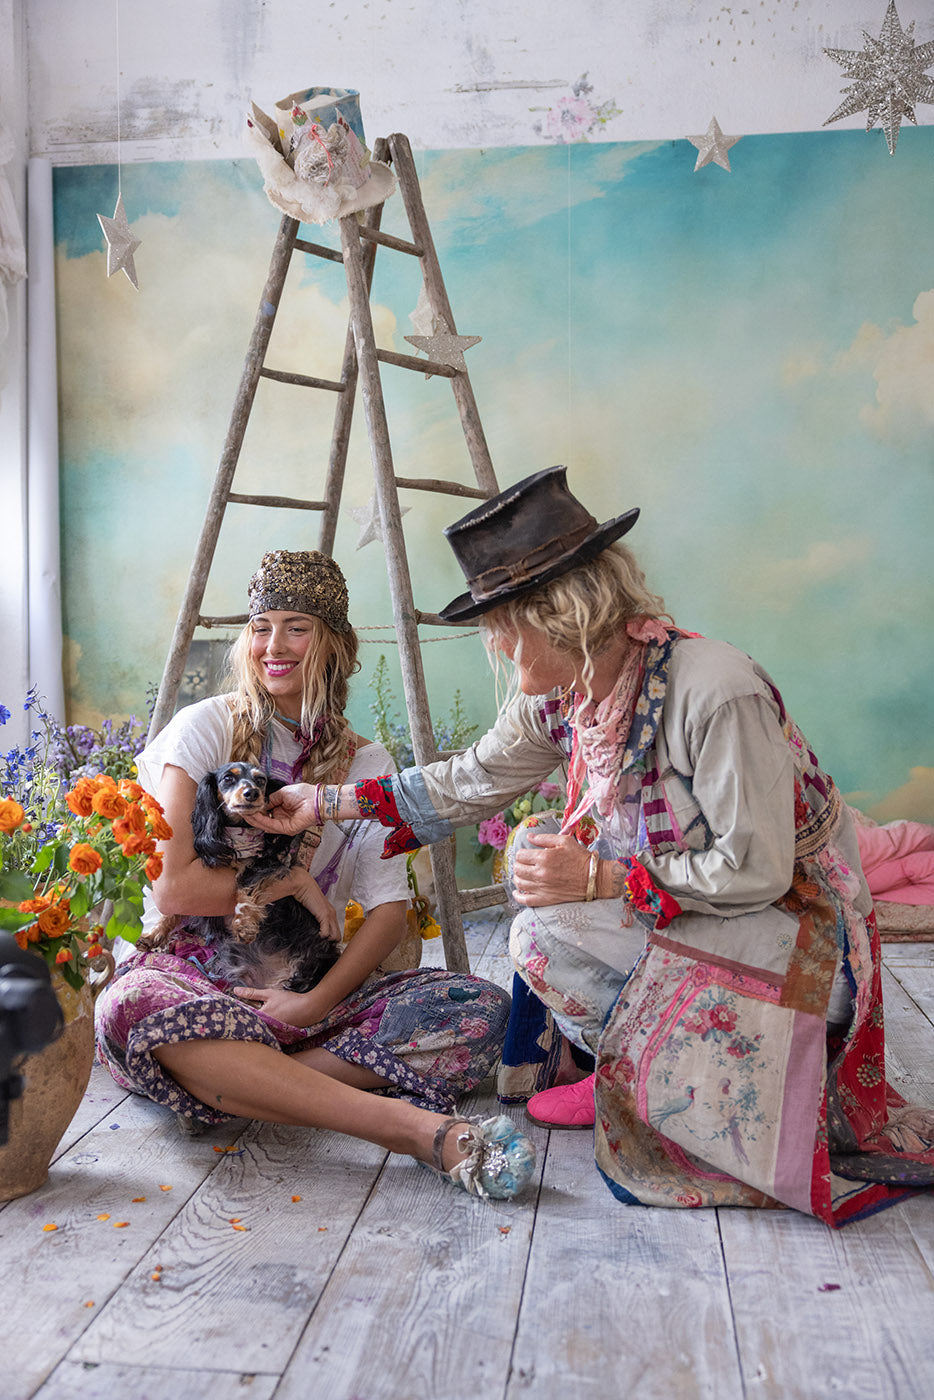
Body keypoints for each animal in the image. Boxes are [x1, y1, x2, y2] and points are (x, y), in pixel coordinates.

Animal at [143, 762, 340, 994]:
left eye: (261, 780)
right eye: (228, 778)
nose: (251, 793)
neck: (238, 836)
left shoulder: (267, 865)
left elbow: (245, 886)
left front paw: (243, 925)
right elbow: (173, 911)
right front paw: (153, 936)